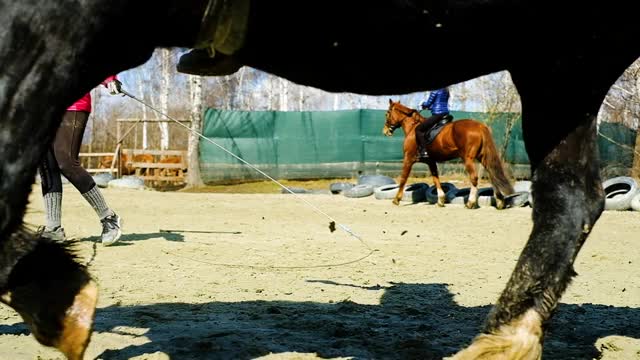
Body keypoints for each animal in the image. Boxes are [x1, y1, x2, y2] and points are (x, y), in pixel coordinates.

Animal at [384, 100, 516, 210]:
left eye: (387, 113)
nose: (385, 131)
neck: (413, 128)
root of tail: (480, 126)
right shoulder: (431, 162)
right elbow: (436, 179)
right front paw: (441, 200)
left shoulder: (408, 159)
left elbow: (403, 179)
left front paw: (396, 199)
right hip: (482, 157)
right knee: (492, 175)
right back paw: (500, 202)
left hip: (468, 159)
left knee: (474, 178)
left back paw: (471, 203)